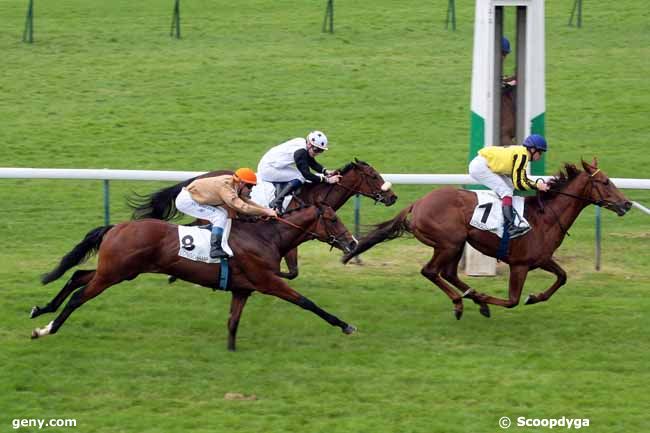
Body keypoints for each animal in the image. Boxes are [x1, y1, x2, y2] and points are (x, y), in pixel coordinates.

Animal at [31, 204, 354, 350]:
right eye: (333, 219)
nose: (351, 243)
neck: (266, 237)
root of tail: (116, 227)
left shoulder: (242, 289)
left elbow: (233, 321)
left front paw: (231, 350)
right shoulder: (268, 282)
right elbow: (307, 303)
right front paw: (345, 325)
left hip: (118, 271)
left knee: (77, 275)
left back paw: (41, 309)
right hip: (113, 273)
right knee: (77, 296)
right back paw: (47, 328)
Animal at [342, 159, 632, 318]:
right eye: (605, 182)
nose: (627, 204)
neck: (546, 216)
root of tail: (418, 203)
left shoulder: (541, 259)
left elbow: (562, 277)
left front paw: (535, 296)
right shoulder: (520, 264)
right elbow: (513, 300)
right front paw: (489, 299)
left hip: (456, 244)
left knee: (447, 273)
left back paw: (471, 297)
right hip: (449, 242)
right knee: (431, 271)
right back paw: (462, 302)